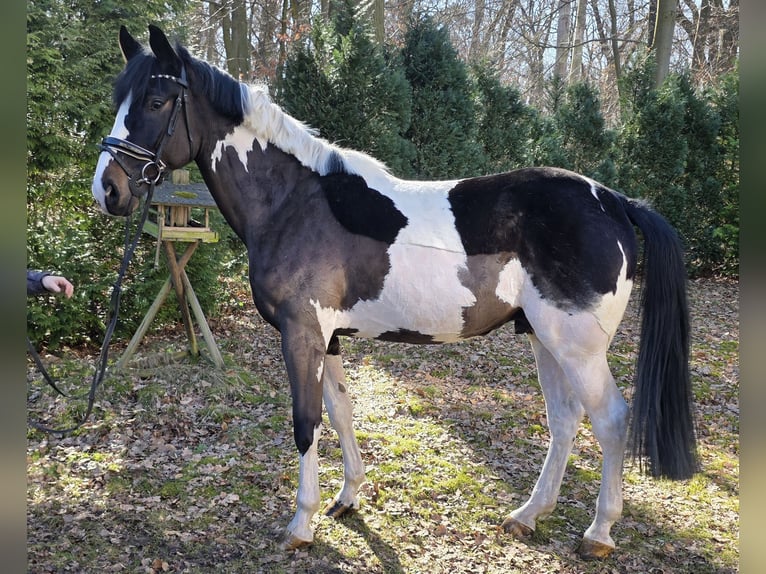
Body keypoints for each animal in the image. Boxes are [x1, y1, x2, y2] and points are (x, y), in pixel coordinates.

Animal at [91, 25, 697, 559]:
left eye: (156, 100)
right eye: (121, 97)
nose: (109, 190)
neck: (295, 203)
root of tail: (614, 201)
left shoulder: (301, 334)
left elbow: (306, 424)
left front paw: (301, 524)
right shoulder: (329, 337)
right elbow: (341, 412)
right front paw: (346, 499)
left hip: (577, 348)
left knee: (611, 420)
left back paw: (599, 532)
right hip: (543, 339)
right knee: (565, 421)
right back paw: (528, 516)